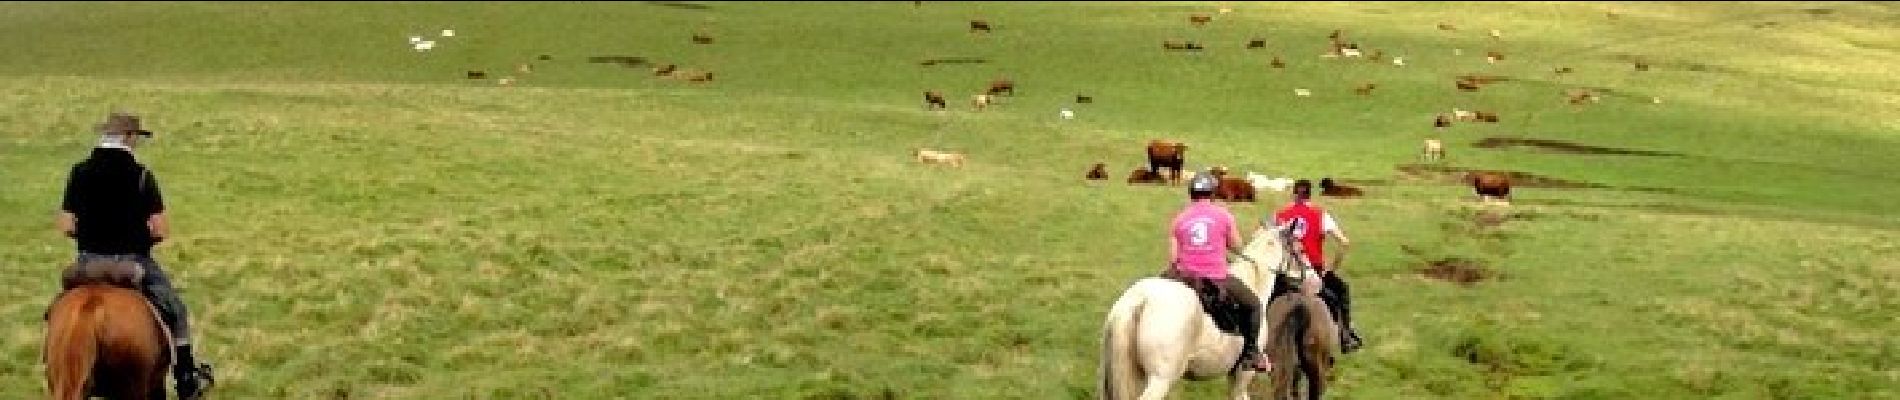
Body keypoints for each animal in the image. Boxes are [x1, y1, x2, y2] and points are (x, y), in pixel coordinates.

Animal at [1109, 226, 1314, 398]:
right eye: (1301, 250)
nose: (1316, 280)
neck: (1254, 282)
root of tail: (1142, 299)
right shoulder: (1242, 375)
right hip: (1160, 379)